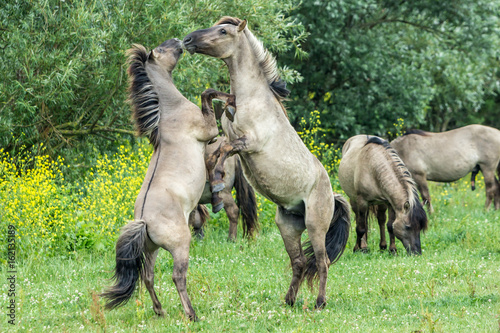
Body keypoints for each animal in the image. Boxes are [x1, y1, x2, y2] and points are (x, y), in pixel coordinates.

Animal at [100, 39, 237, 322]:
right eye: (161, 50)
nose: (179, 41)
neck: (169, 112)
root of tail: (144, 221)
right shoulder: (208, 131)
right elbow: (208, 96)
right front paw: (230, 101)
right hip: (180, 246)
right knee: (177, 277)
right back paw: (192, 314)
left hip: (150, 250)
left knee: (148, 277)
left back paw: (160, 310)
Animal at [182, 16, 350, 308]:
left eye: (223, 31)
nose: (188, 40)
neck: (250, 98)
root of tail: (333, 195)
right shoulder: (234, 141)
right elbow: (215, 152)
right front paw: (213, 190)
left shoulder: (249, 143)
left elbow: (222, 152)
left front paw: (217, 188)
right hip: (288, 227)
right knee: (298, 263)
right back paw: (289, 300)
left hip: (316, 226)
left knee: (322, 262)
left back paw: (319, 303)